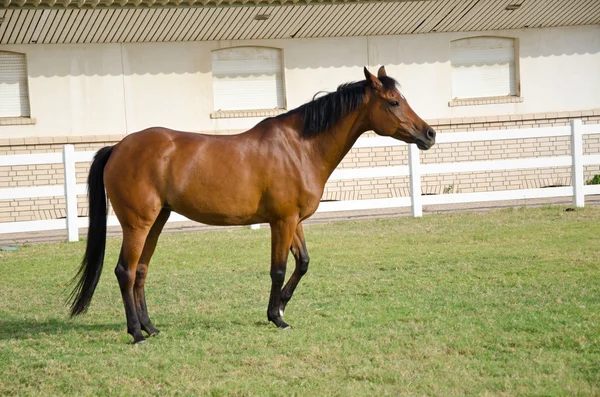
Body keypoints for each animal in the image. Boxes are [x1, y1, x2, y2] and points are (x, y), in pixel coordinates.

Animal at [69, 66, 436, 342]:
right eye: (393, 102)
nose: (429, 134)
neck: (299, 147)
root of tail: (118, 147)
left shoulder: (294, 221)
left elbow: (303, 262)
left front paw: (282, 306)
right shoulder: (282, 221)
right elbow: (278, 269)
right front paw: (277, 317)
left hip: (156, 222)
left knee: (141, 271)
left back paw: (150, 327)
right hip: (138, 223)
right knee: (125, 271)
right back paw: (136, 333)